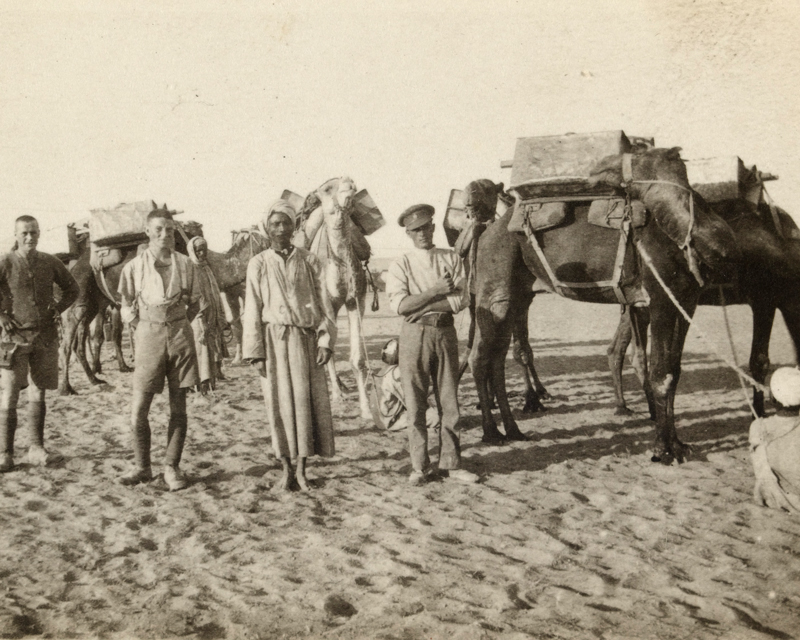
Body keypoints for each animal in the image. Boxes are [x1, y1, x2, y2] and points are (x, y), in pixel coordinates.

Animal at [472, 148, 740, 462]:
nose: (595, 168)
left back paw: (513, 430)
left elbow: (674, 372)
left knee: (497, 357)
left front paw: (679, 445)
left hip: (518, 295)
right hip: (495, 288)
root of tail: (489, 232)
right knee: (480, 356)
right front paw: (662, 449)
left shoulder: (687, 300)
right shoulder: (660, 297)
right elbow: (661, 374)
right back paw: (491, 433)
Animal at [608, 201, 800, 420]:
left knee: (622, 350)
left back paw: (626, 407)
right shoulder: (765, 299)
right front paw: (758, 414)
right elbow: (759, 361)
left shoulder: (786, 301)